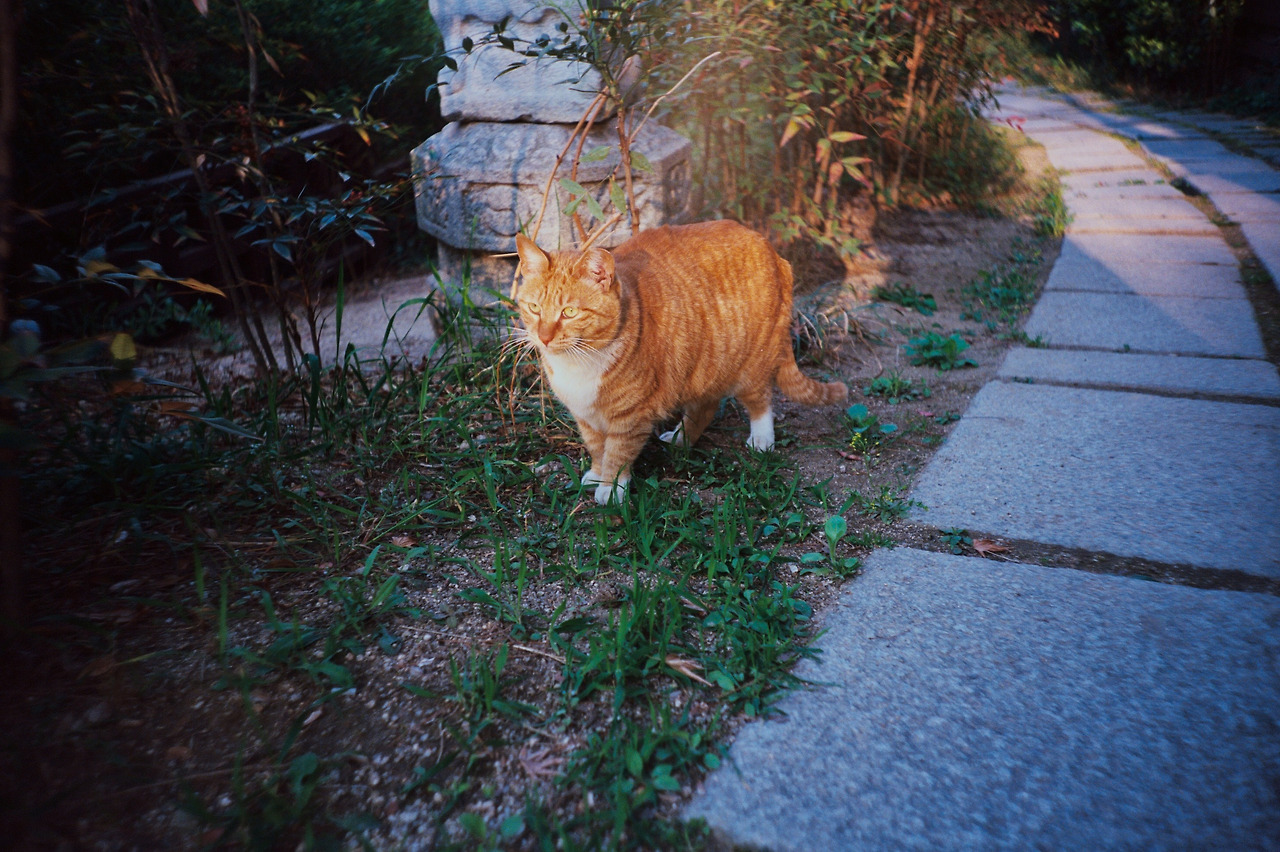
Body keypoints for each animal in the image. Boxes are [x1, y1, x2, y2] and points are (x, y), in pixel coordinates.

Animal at [513, 220, 848, 505]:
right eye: (534, 308)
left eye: (569, 312)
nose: (543, 337)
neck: (579, 362)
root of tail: (770, 249)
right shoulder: (585, 415)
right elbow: (596, 446)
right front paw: (597, 474)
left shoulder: (631, 415)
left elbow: (618, 453)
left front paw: (611, 488)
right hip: (702, 363)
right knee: (706, 406)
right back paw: (680, 438)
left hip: (750, 361)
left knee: (760, 398)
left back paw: (762, 438)